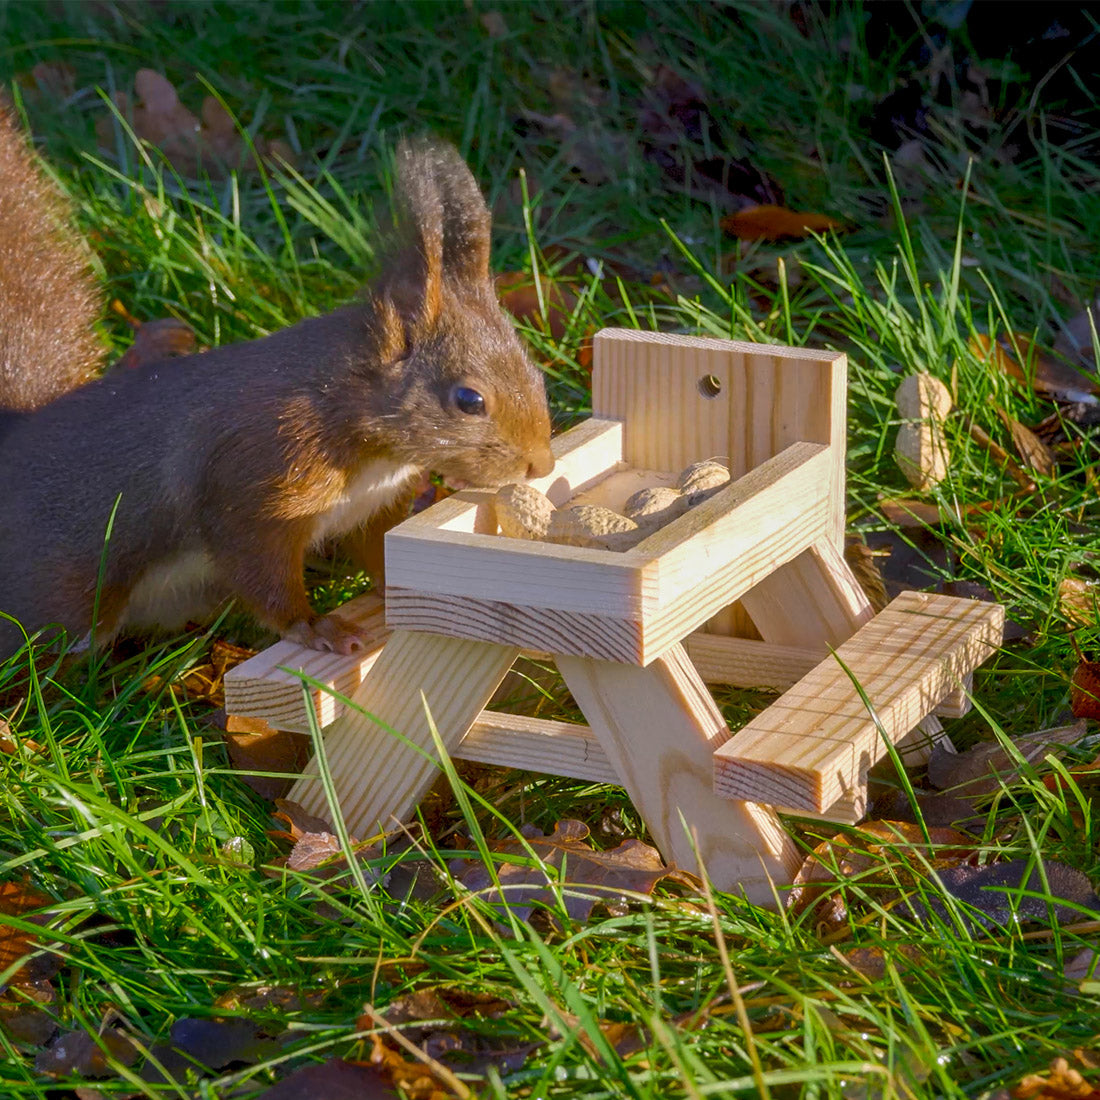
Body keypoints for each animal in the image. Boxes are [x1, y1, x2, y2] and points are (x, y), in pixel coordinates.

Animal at [0, 107, 554, 656]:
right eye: (469, 400)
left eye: (533, 369)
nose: (541, 464)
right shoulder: (254, 481)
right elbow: (258, 569)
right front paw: (313, 627)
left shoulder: (373, 505)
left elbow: (377, 550)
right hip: (62, 604)